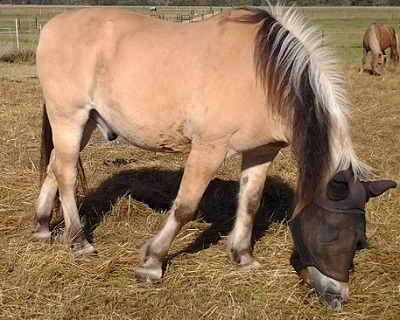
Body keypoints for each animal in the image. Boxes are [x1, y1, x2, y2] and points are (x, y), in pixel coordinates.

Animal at [32, 4, 396, 310]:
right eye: (332, 232)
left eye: (359, 239)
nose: (337, 297)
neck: (265, 77)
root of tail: (52, 25)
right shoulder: (208, 149)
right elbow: (185, 207)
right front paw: (152, 263)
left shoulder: (262, 152)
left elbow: (250, 203)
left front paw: (242, 257)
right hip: (70, 117)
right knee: (66, 174)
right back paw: (79, 242)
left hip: (85, 123)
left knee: (54, 168)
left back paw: (42, 229)